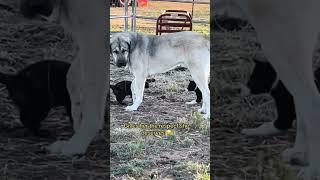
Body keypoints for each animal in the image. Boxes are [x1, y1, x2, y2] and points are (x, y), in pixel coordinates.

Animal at [20, 0, 107, 155]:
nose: (34, 9)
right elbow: (72, 77)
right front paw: (79, 123)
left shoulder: (95, 34)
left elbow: (92, 105)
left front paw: (78, 143)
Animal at [218, 0, 320, 179]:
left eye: (254, 79)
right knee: (300, 102)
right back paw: (299, 153)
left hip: (279, 35)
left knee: (311, 103)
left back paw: (313, 169)